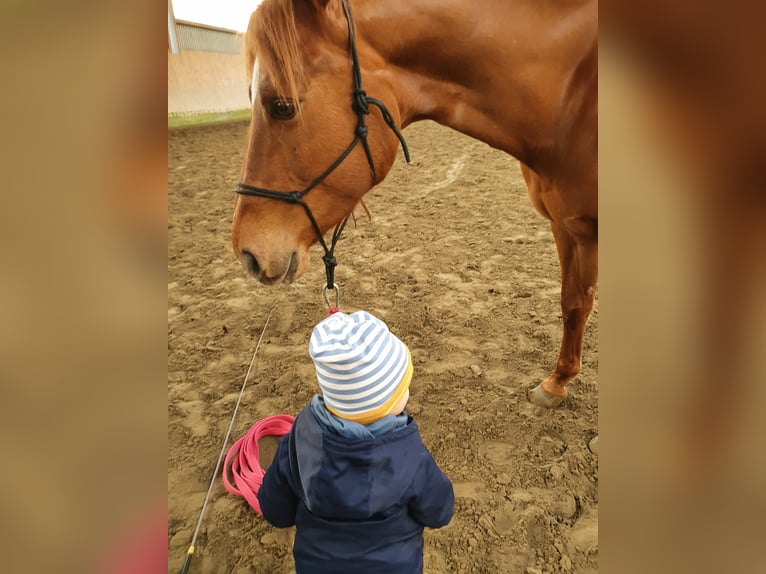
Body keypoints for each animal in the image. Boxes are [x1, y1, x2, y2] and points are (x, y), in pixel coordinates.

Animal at [234, 0, 600, 410]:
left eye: (281, 106)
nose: (247, 253)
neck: (570, 95)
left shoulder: (587, 230)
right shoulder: (564, 224)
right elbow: (572, 303)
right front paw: (557, 381)